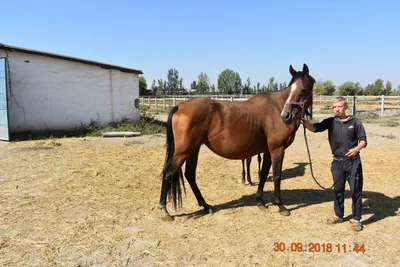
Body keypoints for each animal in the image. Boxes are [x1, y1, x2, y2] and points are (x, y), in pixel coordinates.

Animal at [159, 64, 316, 222]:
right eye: (291, 88)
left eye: (303, 89)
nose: (286, 115)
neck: (275, 108)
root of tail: (179, 106)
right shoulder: (278, 150)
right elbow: (277, 176)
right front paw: (281, 206)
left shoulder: (267, 151)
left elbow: (264, 174)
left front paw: (260, 201)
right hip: (183, 151)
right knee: (168, 173)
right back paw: (165, 211)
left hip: (193, 150)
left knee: (190, 175)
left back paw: (206, 205)